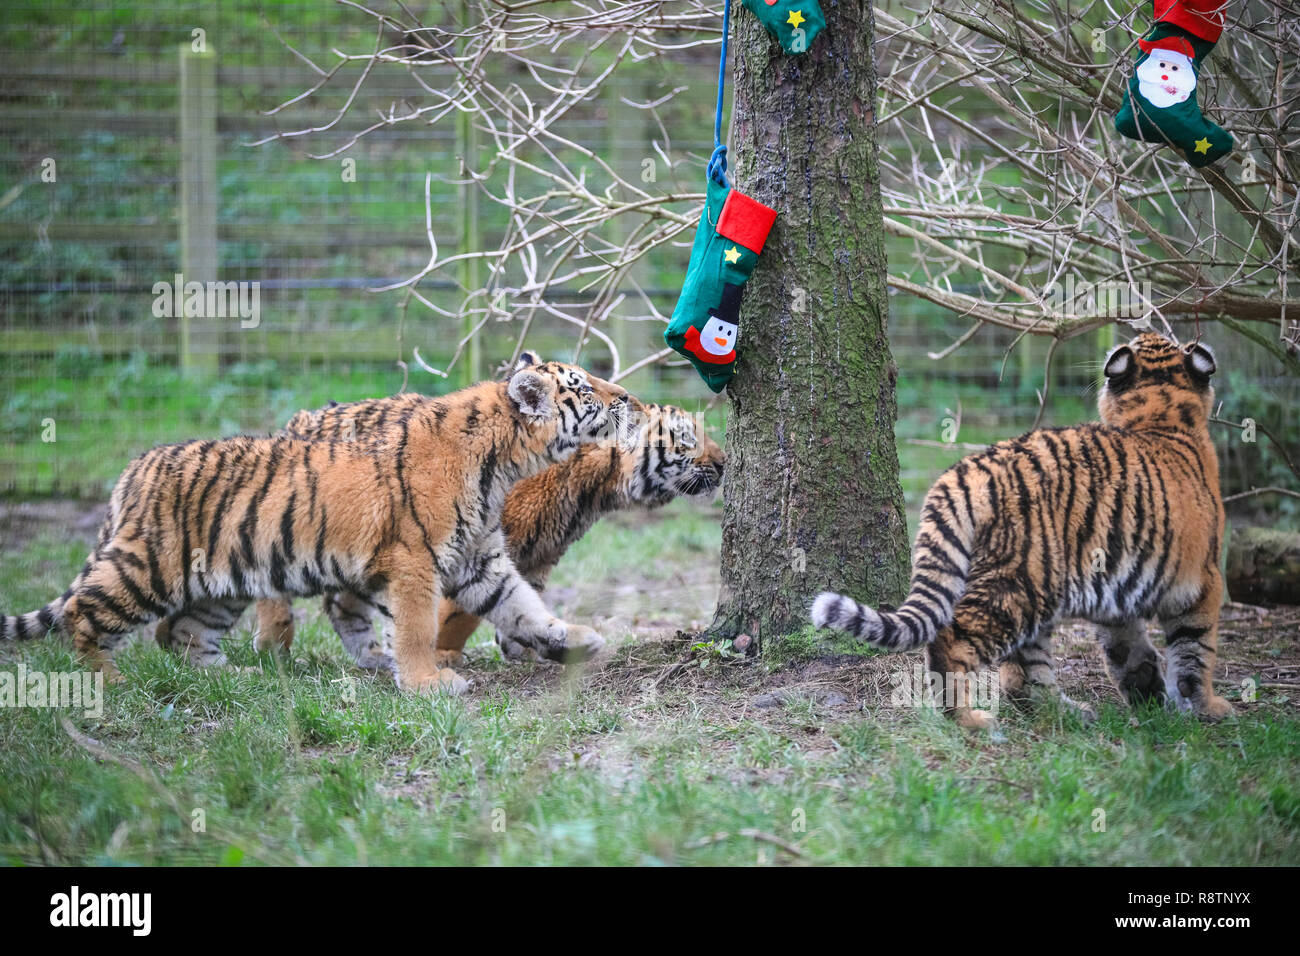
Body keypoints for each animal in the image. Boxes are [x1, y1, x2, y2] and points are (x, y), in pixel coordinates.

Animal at [0, 358, 629, 697]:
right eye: (583, 386)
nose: (626, 395)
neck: (503, 467)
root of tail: (133, 470)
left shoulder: (480, 560)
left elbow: (524, 606)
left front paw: (576, 638)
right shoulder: (414, 562)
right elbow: (417, 629)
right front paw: (428, 684)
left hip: (223, 583)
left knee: (180, 634)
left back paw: (235, 679)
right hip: (148, 568)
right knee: (83, 614)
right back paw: (108, 681)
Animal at [248, 382, 728, 671]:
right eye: (688, 438)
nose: (726, 462)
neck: (593, 491)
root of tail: (299, 419)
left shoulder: (537, 555)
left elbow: (525, 602)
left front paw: (530, 646)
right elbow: (457, 612)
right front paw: (444, 655)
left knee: (340, 604)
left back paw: (371, 656)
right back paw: (273, 646)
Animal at [811, 332, 1227, 728]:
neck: (1161, 414)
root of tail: (963, 473)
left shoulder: (1120, 600)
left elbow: (1128, 649)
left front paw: (1150, 695)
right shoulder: (1203, 581)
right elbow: (1195, 653)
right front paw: (1207, 708)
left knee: (1022, 673)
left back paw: (1067, 713)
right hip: (1021, 582)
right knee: (957, 644)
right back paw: (969, 720)